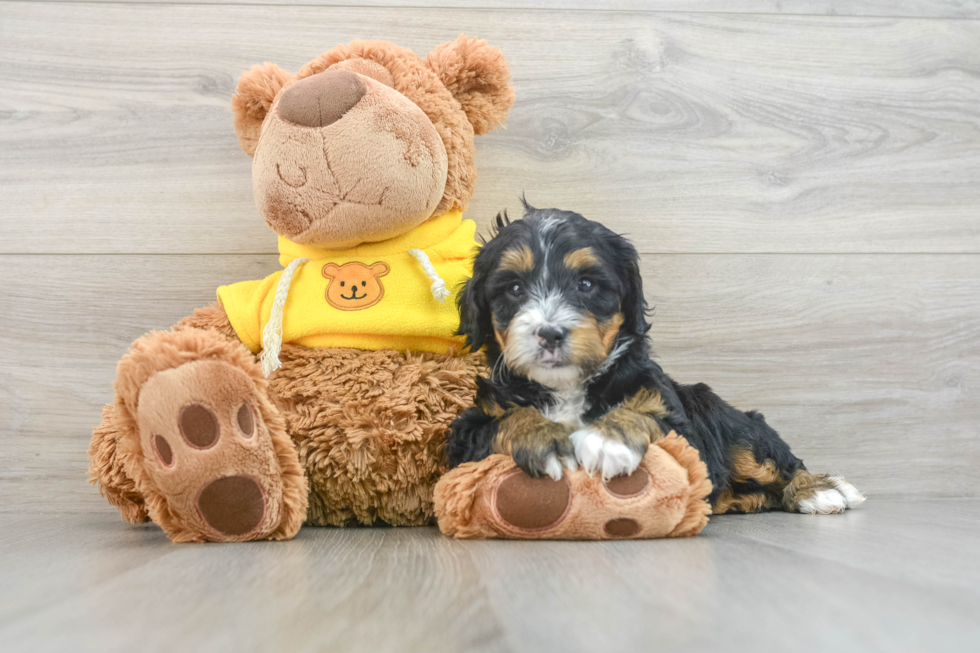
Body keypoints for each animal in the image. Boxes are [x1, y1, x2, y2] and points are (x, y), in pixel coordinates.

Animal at [446, 204, 864, 516]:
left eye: (586, 284)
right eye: (515, 288)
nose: (550, 333)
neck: (567, 387)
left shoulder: (679, 423)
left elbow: (646, 415)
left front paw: (607, 439)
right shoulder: (465, 437)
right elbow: (503, 422)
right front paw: (544, 438)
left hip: (733, 426)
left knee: (779, 461)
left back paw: (821, 490)